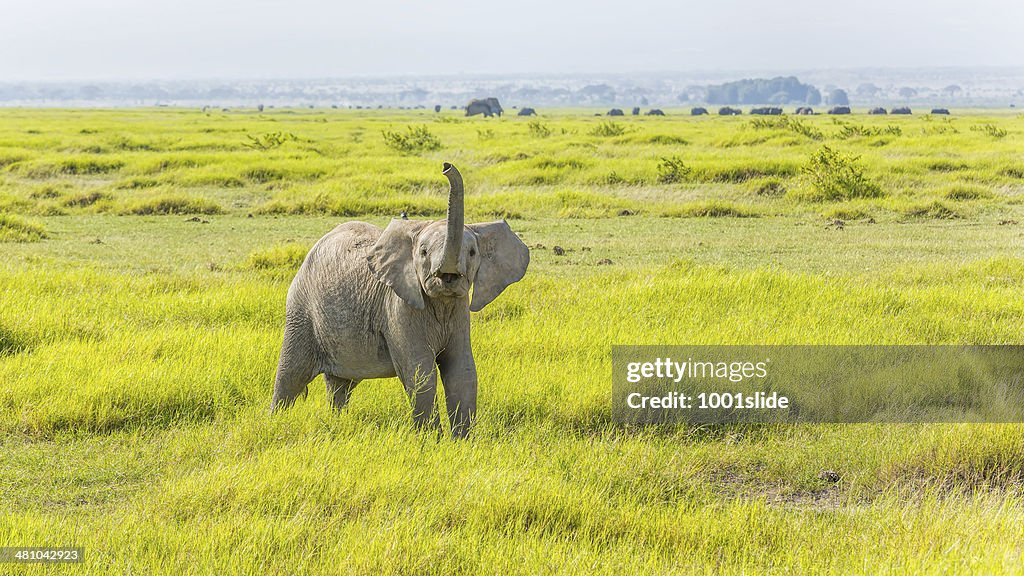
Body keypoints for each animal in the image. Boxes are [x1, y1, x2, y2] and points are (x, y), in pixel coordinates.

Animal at [268, 163, 532, 436]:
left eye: (471, 253)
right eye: (423, 252)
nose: (445, 166)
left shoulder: (459, 309)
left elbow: (462, 371)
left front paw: (462, 440)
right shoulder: (397, 308)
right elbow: (420, 371)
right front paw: (432, 440)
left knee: (340, 384)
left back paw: (336, 421)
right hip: (300, 310)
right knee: (290, 376)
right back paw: (274, 422)